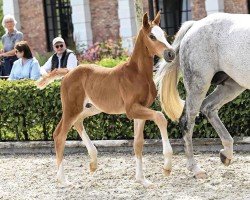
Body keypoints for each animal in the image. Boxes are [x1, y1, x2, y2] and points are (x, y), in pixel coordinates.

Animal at [36, 12, 176, 188]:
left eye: (164, 34)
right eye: (152, 36)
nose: (171, 54)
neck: (137, 74)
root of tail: (68, 72)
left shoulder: (141, 110)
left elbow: (138, 144)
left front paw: (142, 179)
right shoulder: (132, 110)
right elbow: (160, 117)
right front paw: (167, 167)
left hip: (90, 108)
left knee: (78, 123)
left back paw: (93, 162)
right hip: (72, 108)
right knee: (59, 134)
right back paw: (63, 179)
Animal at [155, 12, 249, 178]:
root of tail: (195, 25)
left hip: (232, 85)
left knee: (208, 107)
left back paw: (226, 154)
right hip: (199, 85)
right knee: (187, 121)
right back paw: (196, 168)